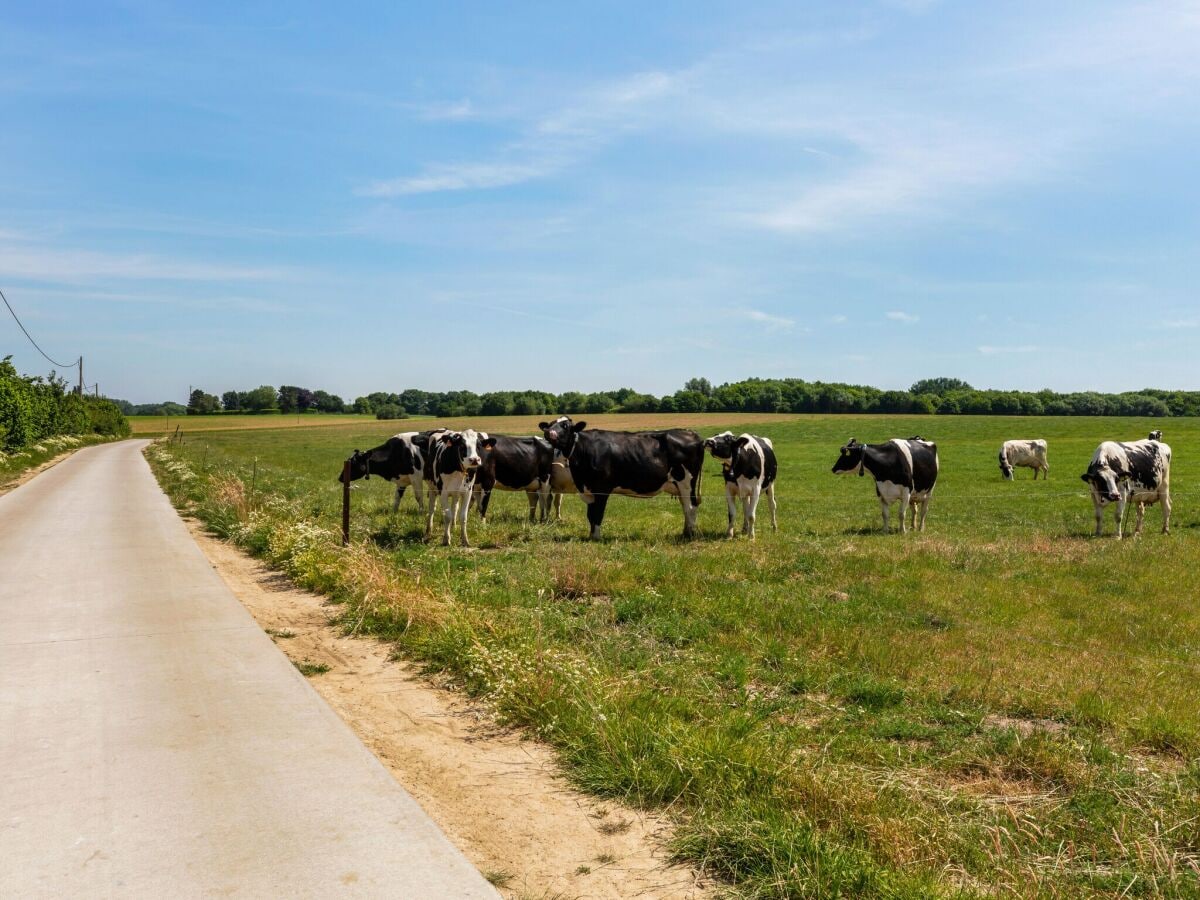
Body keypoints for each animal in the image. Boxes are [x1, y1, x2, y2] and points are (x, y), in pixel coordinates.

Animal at [537, 417, 700, 542]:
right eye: (550, 424)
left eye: (565, 426)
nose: (548, 432)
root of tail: (689, 432)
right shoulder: (588, 489)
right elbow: (590, 514)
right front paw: (591, 536)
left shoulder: (601, 489)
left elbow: (597, 513)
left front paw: (596, 537)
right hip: (679, 486)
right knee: (686, 507)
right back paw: (685, 532)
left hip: (687, 482)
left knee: (691, 507)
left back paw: (689, 535)